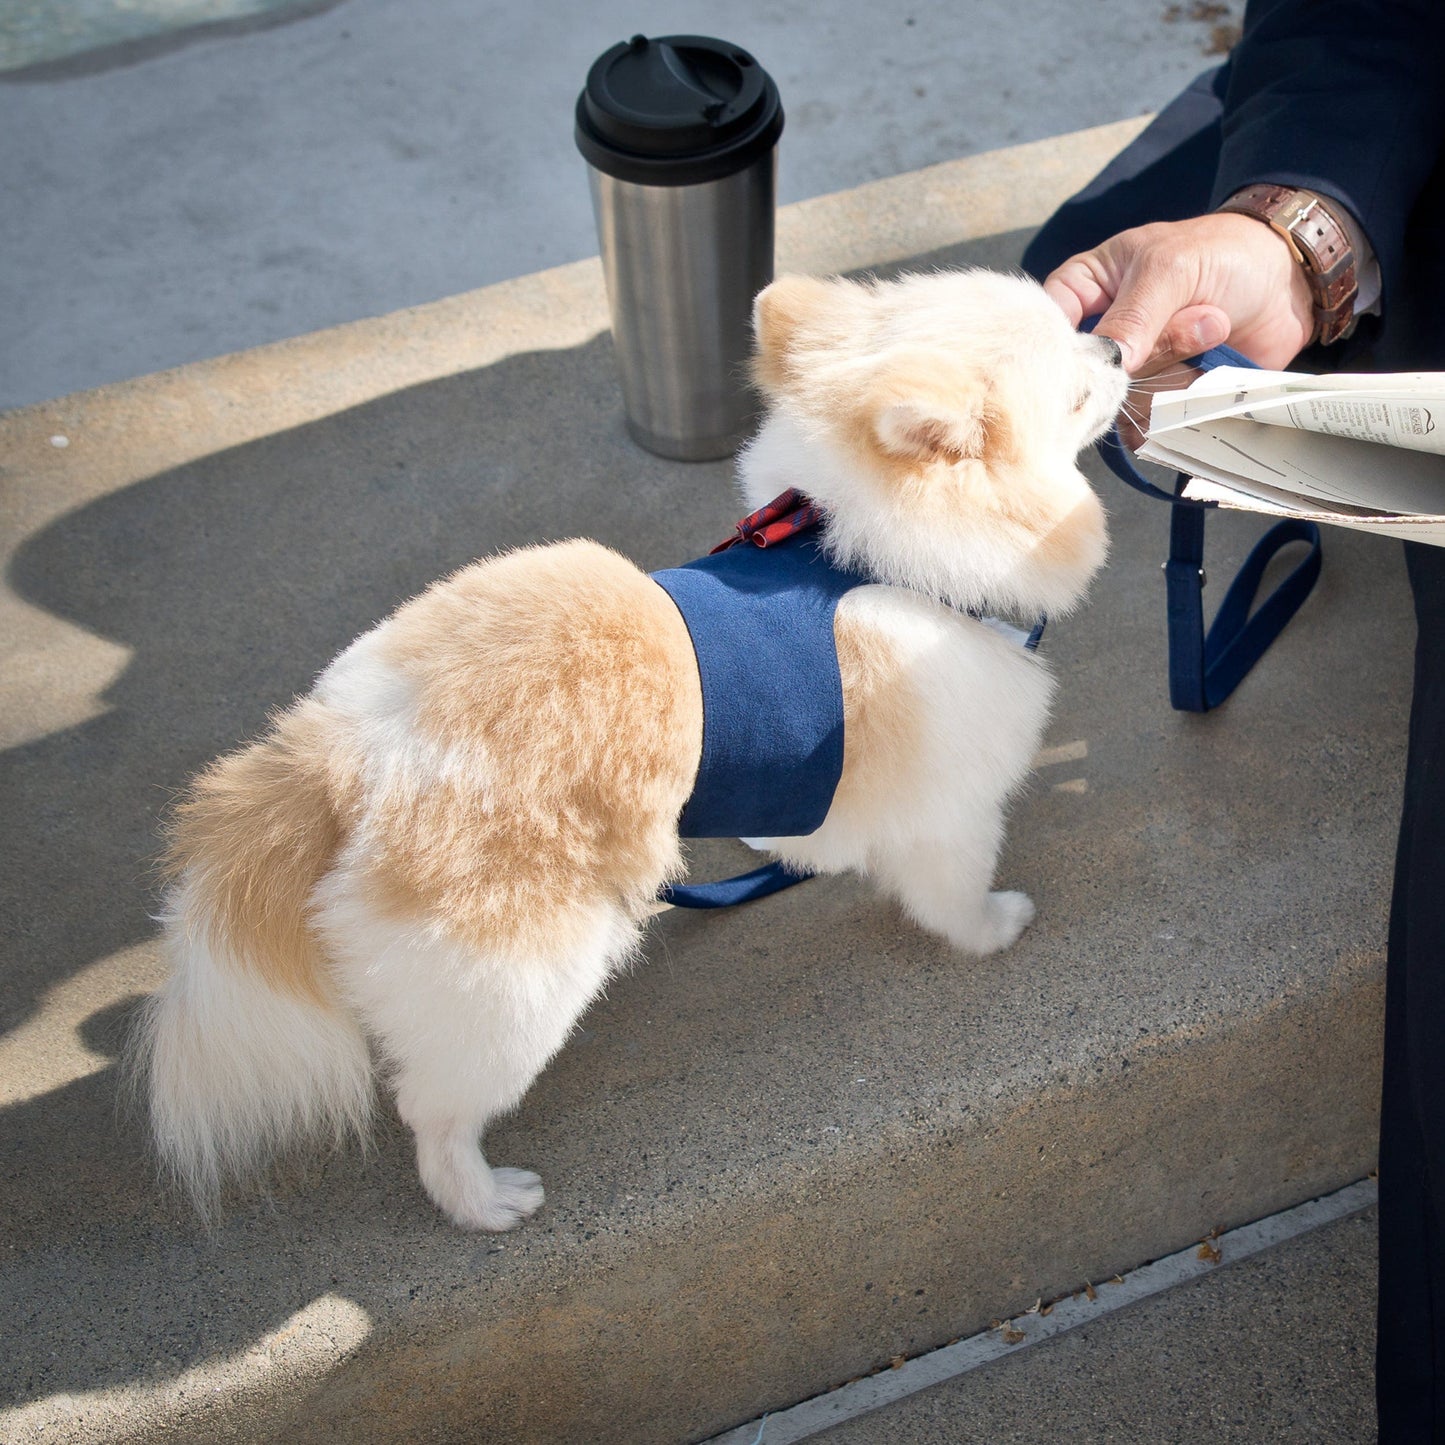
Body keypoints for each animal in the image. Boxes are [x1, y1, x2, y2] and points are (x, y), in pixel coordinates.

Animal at [137, 268, 1127, 1231]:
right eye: (1078, 387)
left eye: (1076, 326)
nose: (1118, 344)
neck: (860, 556)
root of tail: (343, 752)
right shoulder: (952, 812)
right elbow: (953, 893)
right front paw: (993, 928)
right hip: (518, 978)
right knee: (437, 1109)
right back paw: (481, 1199)